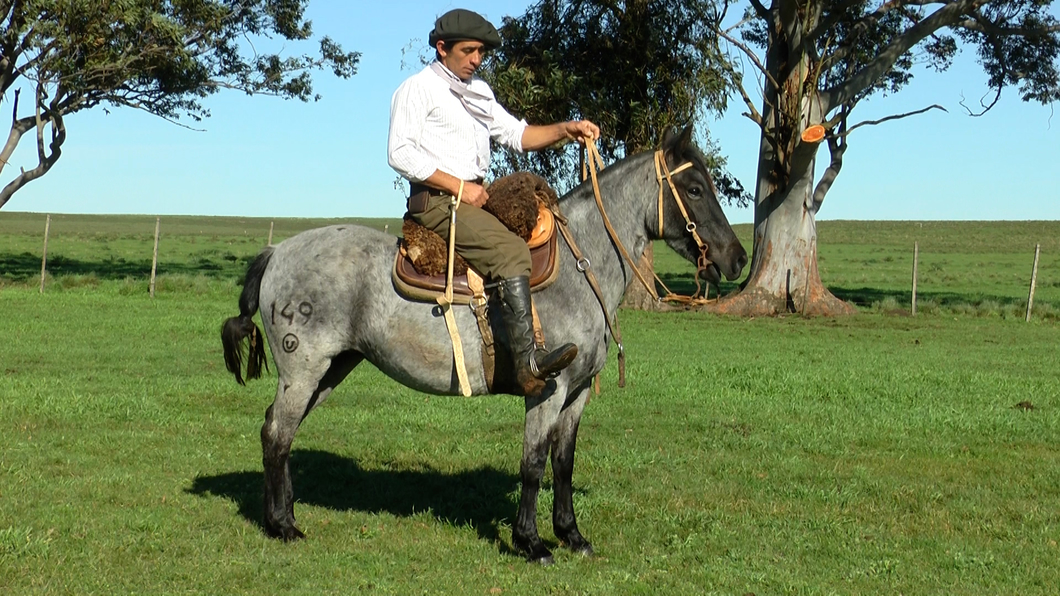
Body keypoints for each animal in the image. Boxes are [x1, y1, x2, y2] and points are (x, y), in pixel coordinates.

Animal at [218, 125, 746, 559]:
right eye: (694, 188)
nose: (737, 258)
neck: (580, 268)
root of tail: (277, 251)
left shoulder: (577, 395)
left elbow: (564, 464)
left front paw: (572, 535)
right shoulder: (548, 390)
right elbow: (533, 463)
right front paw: (531, 542)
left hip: (331, 369)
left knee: (281, 433)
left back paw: (282, 515)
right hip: (304, 368)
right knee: (277, 434)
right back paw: (283, 526)